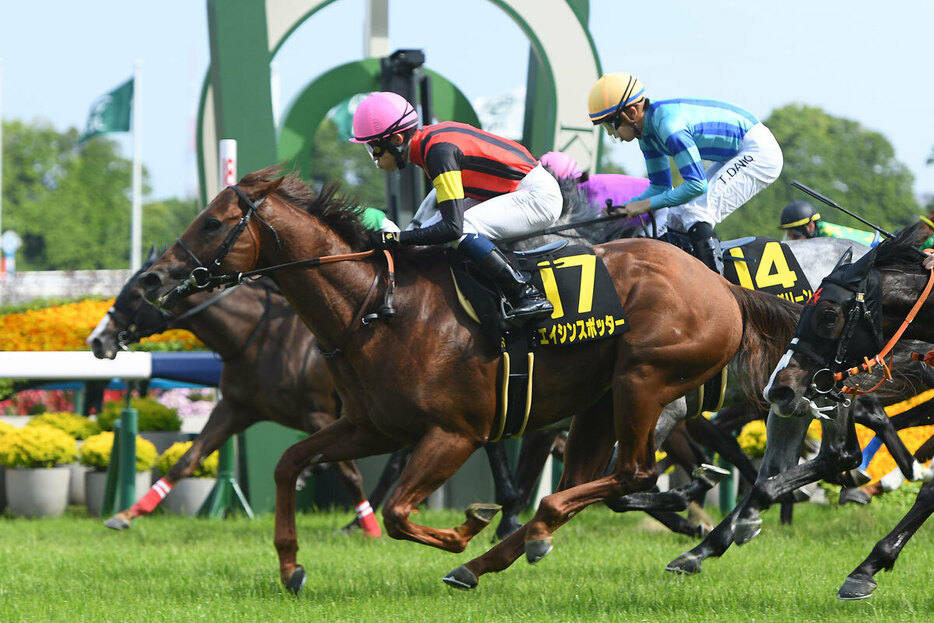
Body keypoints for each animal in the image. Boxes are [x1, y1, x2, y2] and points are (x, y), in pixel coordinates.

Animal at [139, 167, 796, 596]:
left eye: (213, 223)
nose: (151, 278)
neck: (376, 306)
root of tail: (724, 287)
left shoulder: (454, 434)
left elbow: (399, 513)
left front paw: (464, 528)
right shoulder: (370, 427)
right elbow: (289, 463)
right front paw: (290, 567)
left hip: (644, 380)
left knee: (628, 474)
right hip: (601, 400)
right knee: (591, 482)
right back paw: (495, 559)